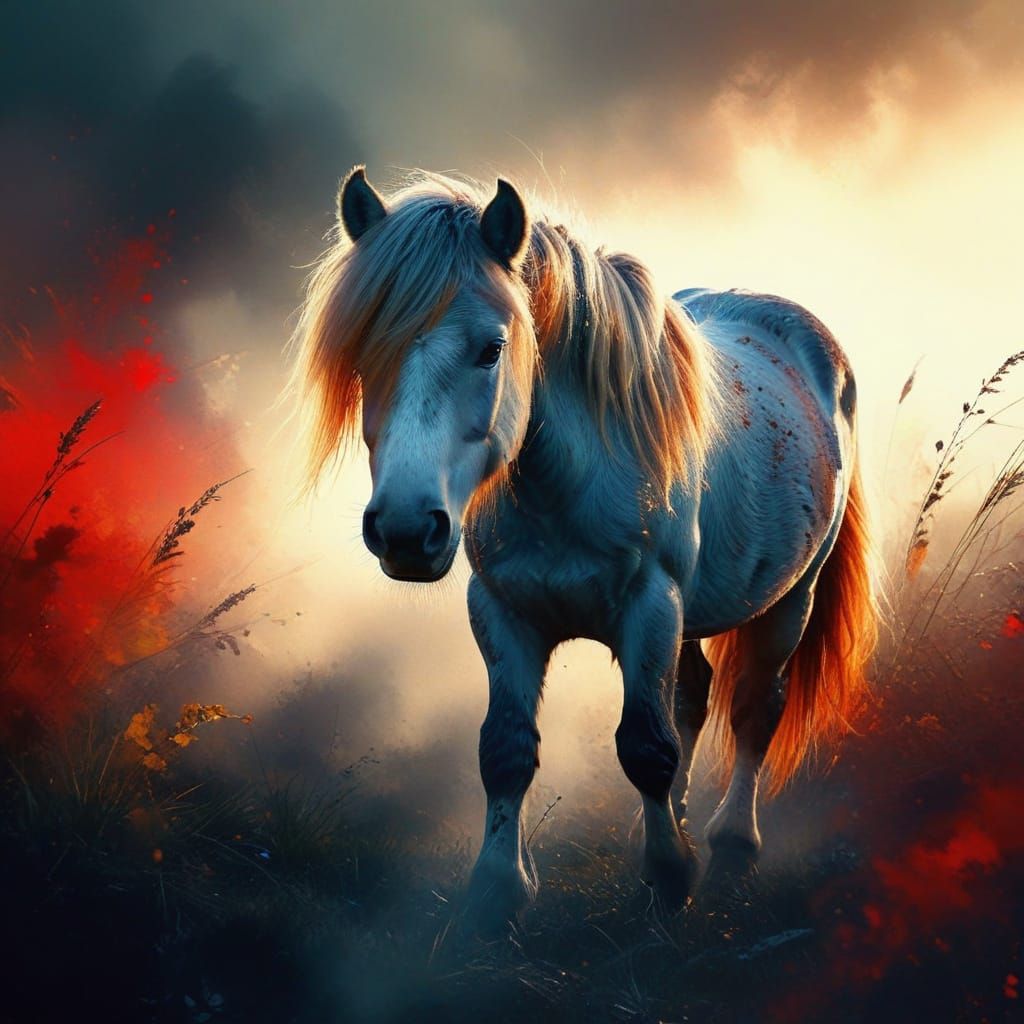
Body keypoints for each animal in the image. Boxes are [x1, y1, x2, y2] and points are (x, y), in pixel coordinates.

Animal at [291, 167, 877, 931]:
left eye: (491, 348)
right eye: (364, 354)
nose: (404, 530)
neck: (564, 482)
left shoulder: (650, 608)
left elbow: (646, 748)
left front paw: (669, 882)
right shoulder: (504, 611)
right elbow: (507, 749)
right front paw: (497, 894)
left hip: (789, 601)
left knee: (754, 707)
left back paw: (729, 848)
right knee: (692, 696)